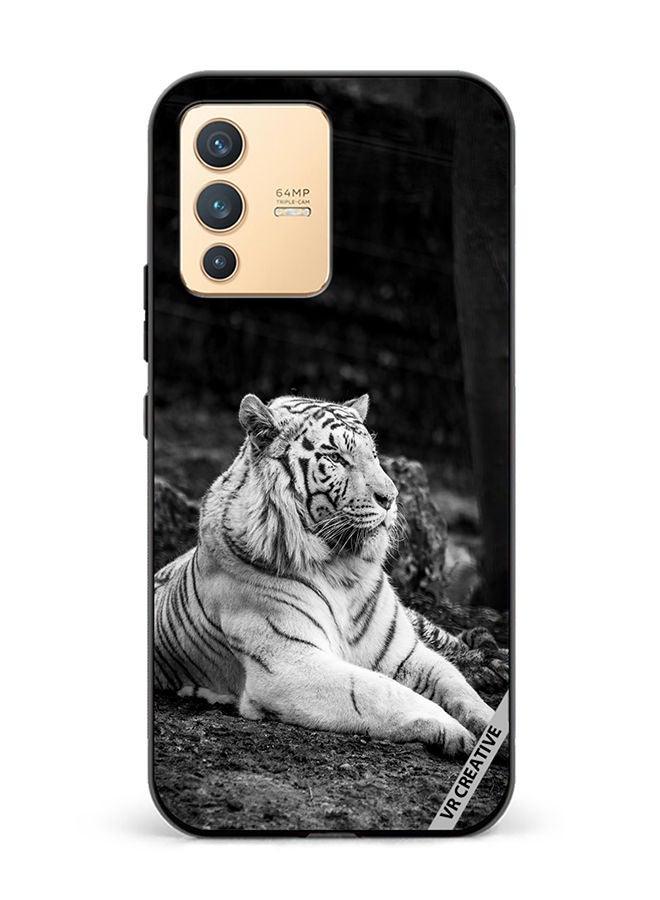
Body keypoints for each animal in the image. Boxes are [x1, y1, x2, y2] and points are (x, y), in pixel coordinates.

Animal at [154, 393, 496, 757]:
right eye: (335, 458)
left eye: (374, 455)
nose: (391, 498)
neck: (343, 570)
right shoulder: (289, 664)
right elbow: (379, 690)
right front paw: (455, 731)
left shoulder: (403, 652)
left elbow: (455, 683)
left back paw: (492, 661)